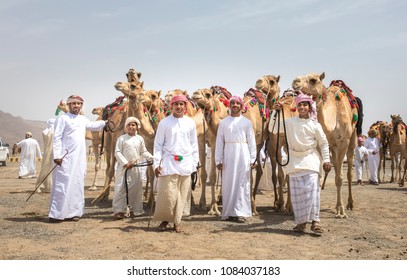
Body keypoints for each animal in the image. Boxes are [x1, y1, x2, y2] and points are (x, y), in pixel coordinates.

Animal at [292, 72, 358, 219]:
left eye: (313, 80)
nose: (295, 81)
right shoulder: (323, 142)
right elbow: (320, 174)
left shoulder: (343, 142)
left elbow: (339, 178)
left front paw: (341, 212)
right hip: (332, 147)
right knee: (336, 165)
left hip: (352, 137)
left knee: (349, 171)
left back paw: (350, 204)